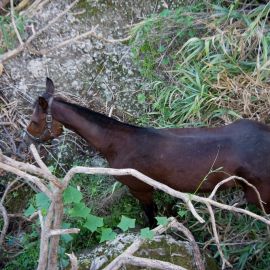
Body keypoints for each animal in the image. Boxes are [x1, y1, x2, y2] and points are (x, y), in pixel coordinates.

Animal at [22, 77, 270, 226]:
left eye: (34, 121)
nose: (27, 140)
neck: (116, 143)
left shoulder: (140, 188)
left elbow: (151, 217)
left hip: (260, 196)